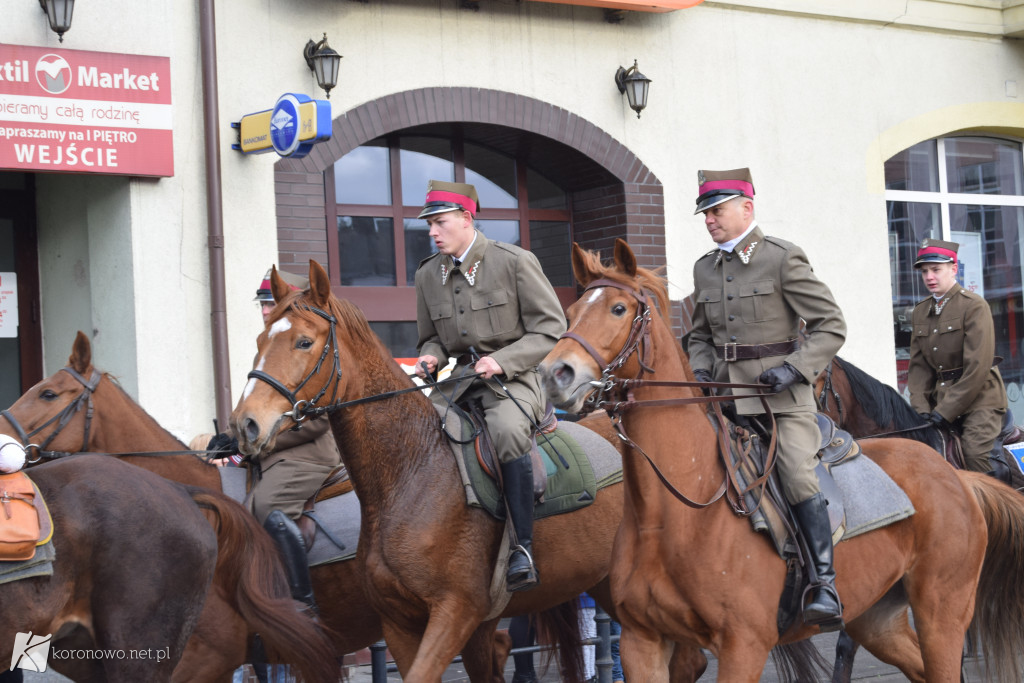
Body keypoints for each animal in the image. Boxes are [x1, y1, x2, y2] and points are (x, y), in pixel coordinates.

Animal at [229, 260, 712, 683]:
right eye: (259, 339)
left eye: (303, 343)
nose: (244, 424)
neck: (410, 470)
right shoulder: (401, 624)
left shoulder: (455, 612)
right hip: (613, 586)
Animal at [536, 236, 1024, 683]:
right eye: (573, 311)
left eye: (618, 309)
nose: (554, 374)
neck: (674, 512)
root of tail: (957, 477)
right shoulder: (643, 642)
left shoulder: (743, 646)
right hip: (878, 618)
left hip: (941, 612)